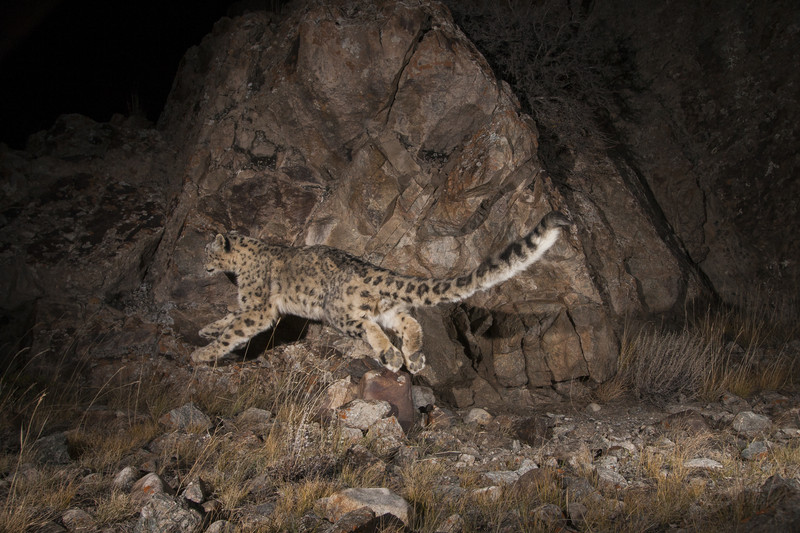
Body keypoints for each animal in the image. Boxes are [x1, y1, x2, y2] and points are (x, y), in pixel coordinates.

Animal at [191, 211, 571, 374]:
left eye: (208, 253)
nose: (202, 266)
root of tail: (374, 270)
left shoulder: (258, 308)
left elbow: (235, 329)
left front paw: (204, 352)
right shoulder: (247, 307)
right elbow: (229, 317)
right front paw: (207, 328)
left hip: (338, 312)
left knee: (367, 327)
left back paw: (390, 355)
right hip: (388, 309)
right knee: (410, 323)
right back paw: (413, 358)